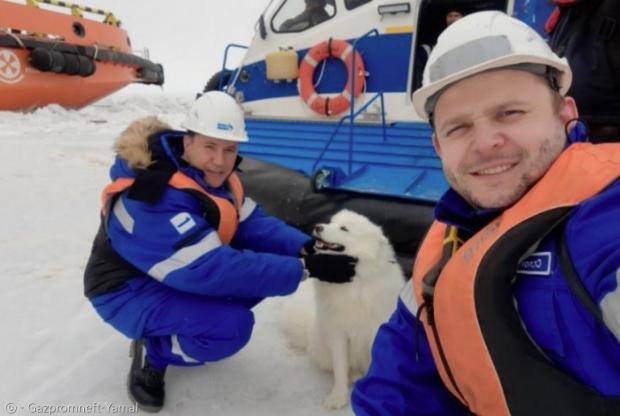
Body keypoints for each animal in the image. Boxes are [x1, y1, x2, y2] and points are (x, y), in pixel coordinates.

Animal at [282, 210, 406, 408]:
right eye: (331, 222)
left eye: (344, 228)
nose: (318, 226)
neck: (354, 283)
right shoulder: (337, 333)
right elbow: (340, 368)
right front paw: (337, 398)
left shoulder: (376, 333)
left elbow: (375, 364)